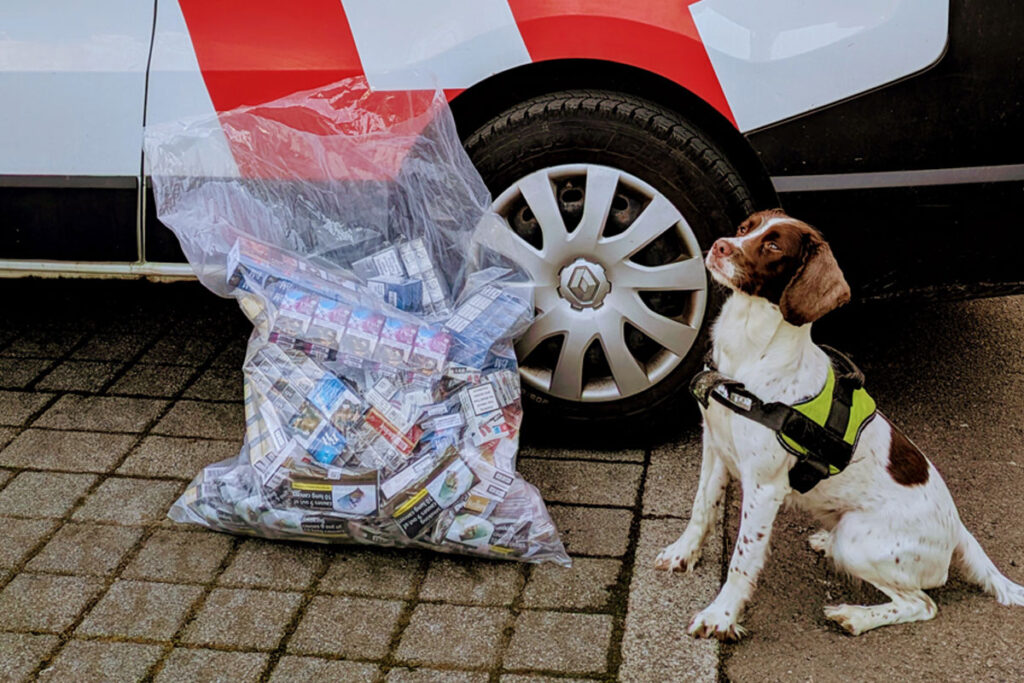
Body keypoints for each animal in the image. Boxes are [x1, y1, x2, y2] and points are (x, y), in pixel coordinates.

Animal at [655, 209, 1024, 643]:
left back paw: (854, 616)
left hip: (858, 540)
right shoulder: (714, 448)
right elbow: (701, 509)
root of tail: (958, 529)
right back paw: (824, 544)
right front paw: (682, 554)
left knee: (921, 604)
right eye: (746, 227)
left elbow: (742, 558)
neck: (747, 359)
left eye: (773, 245)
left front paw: (721, 616)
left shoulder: (764, 487)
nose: (719, 246)